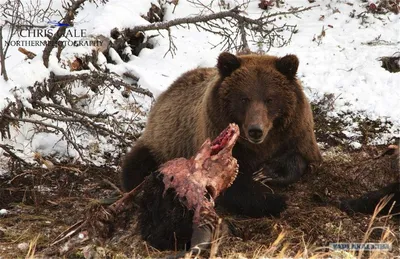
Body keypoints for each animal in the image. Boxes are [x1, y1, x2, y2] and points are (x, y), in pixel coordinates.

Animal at [122, 52, 322, 250]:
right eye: (244, 98)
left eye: (270, 99)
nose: (256, 130)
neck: (261, 145)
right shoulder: (216, 137)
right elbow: (233, 186)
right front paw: (273, 199)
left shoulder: (296, 133)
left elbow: (301, 158)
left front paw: (268, 173)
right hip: (160, 143)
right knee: (136, 166)